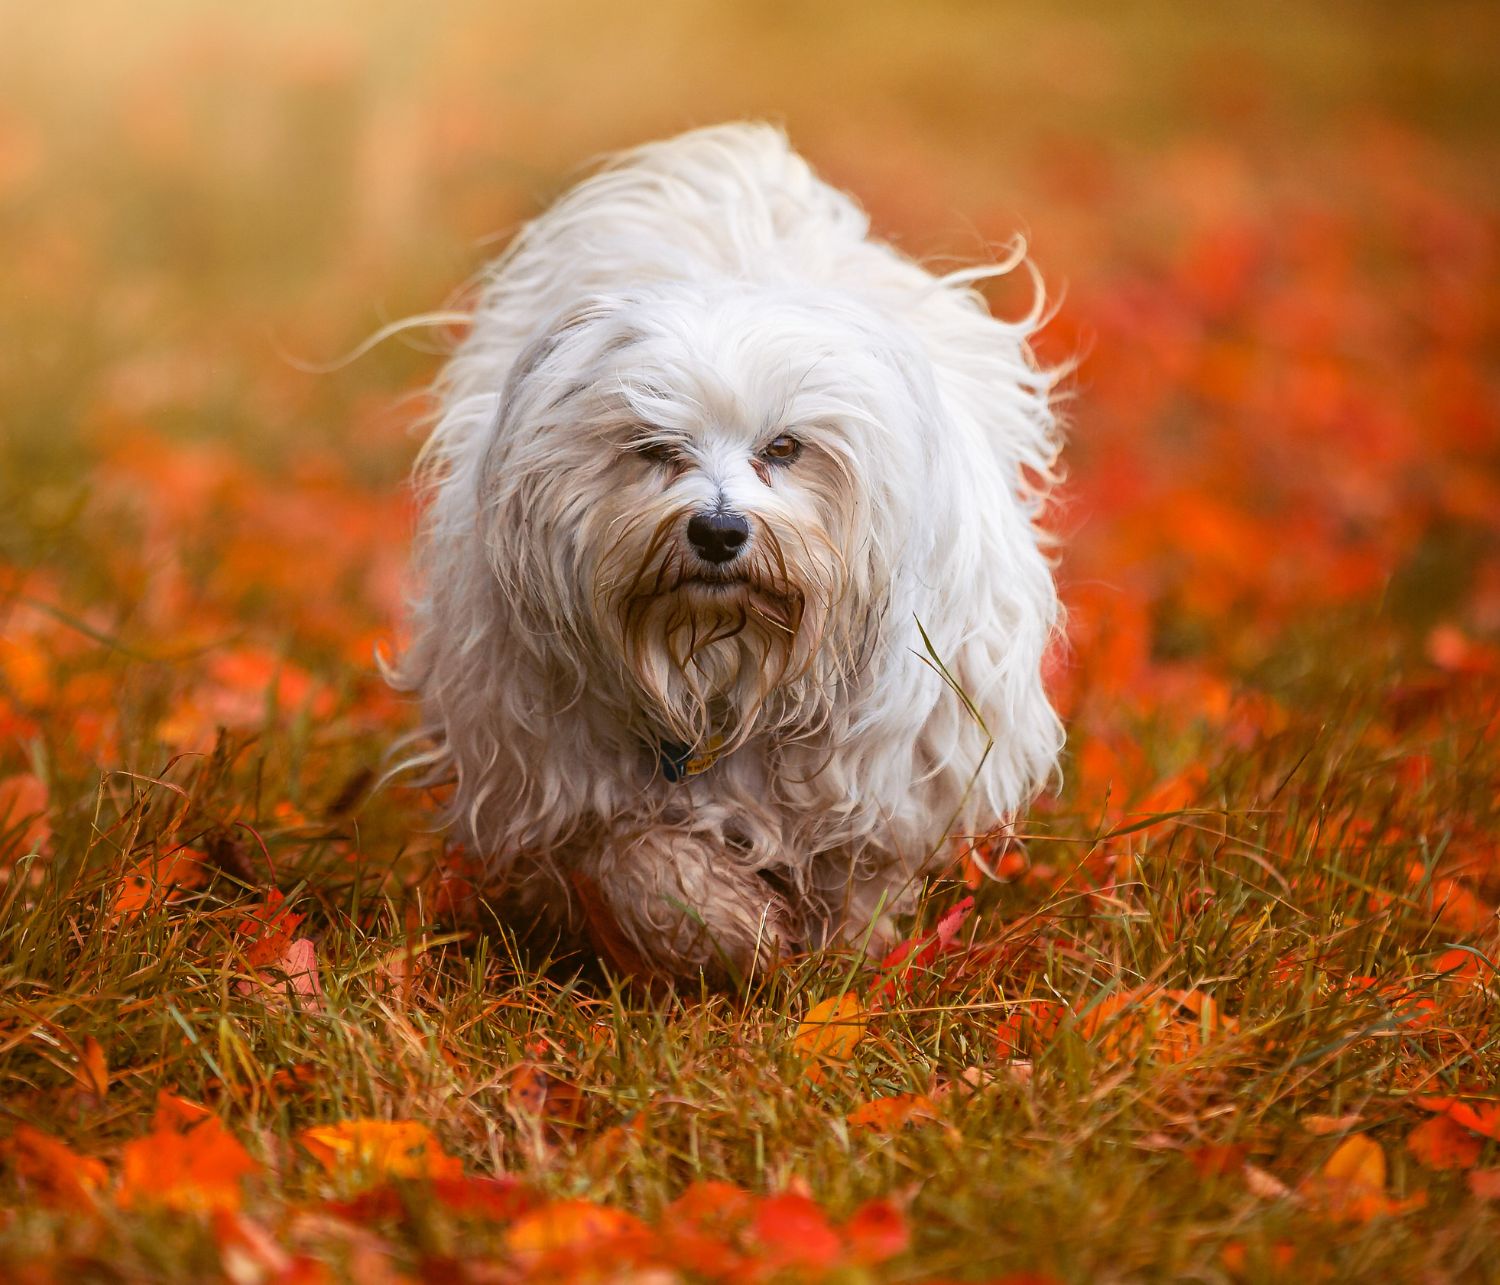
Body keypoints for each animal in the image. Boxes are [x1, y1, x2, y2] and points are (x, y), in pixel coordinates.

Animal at [393, 122, 1062, 983]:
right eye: (655, 447)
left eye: (784, 447)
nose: (717, 530)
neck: (723, 666)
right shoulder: (570, 777)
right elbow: (643, 862)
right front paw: (732, 930)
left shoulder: (885, 771)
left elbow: (857, 873)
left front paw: (839, 962)